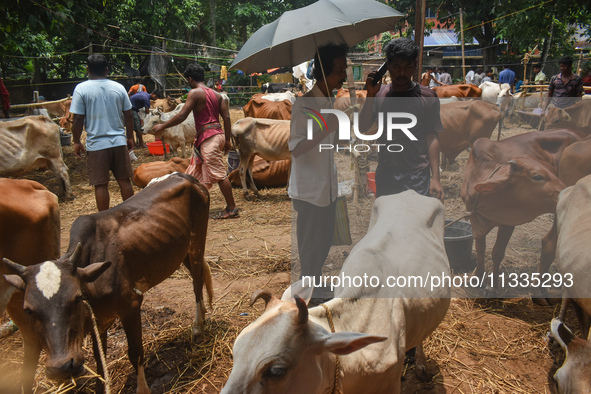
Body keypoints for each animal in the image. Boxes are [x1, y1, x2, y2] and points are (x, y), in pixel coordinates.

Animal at [460, 129, 580, 292]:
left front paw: (493, 286)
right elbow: (480, 247)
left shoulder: (508, 222)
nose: (567, 191)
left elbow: (497, 252)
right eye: (537, 176)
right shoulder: (474, 217)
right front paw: (477, 277)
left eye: (553, 171)